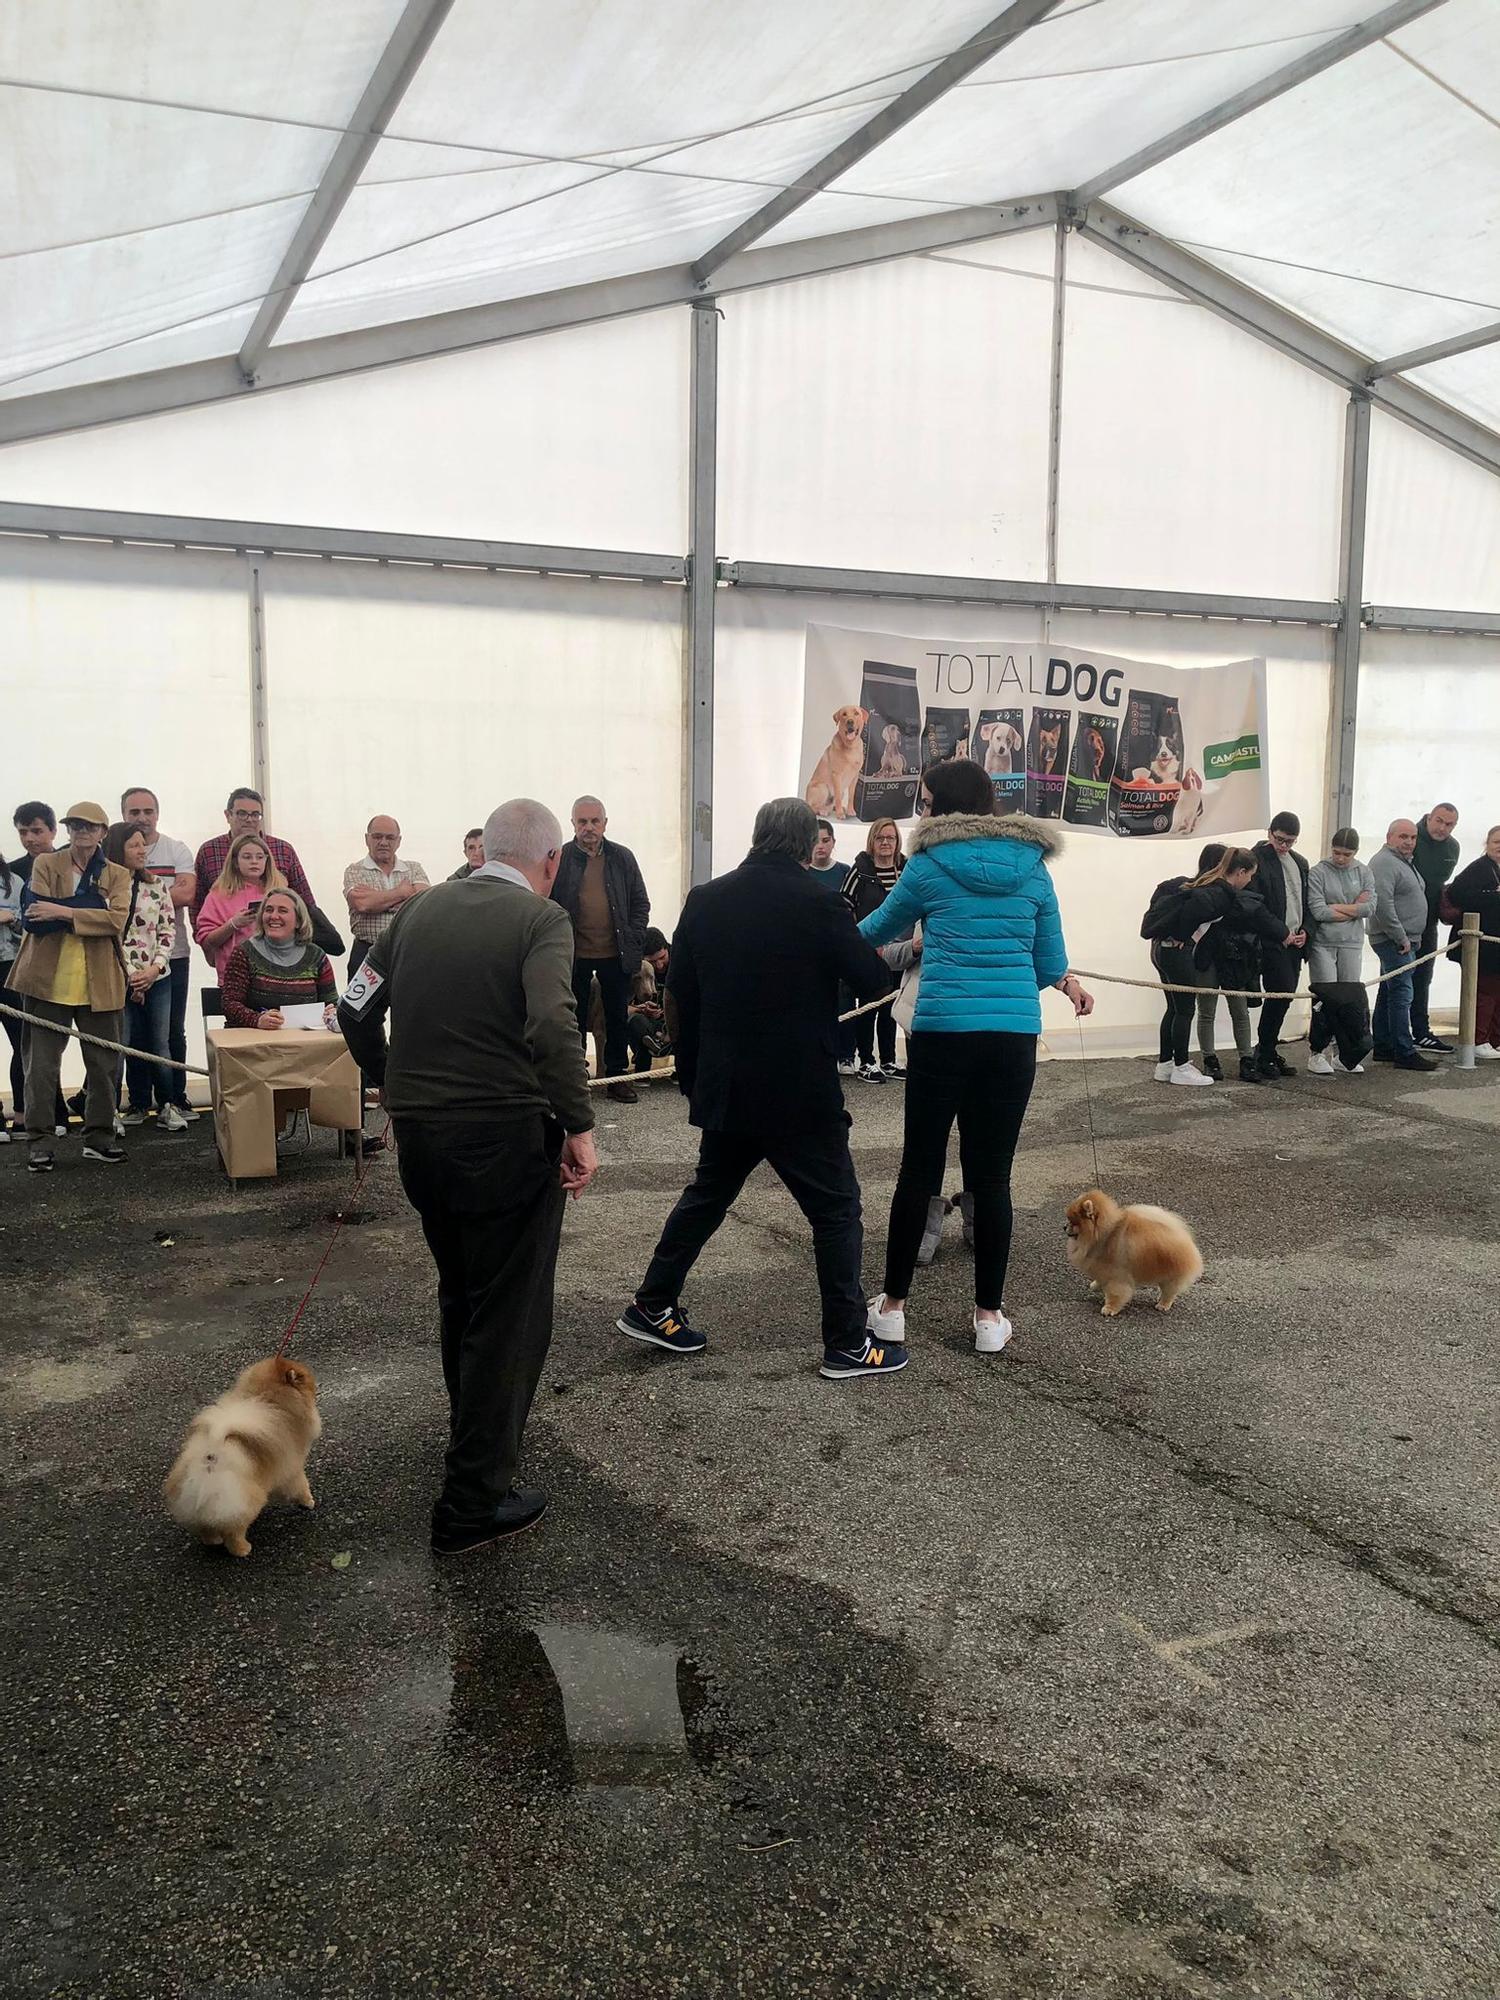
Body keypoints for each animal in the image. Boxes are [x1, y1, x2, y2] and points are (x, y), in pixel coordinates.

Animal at [164, 1352, 324, 1552]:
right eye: (307, 1379)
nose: (315, 1384)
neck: (268, 1399)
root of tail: (210, 1458)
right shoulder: (292, 1467)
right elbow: (301, 1486)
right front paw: (308, 1502)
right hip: (245, 1501)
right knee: (234, 1532)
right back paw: (243, 1549)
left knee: (206, 1529)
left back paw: (213, 1541)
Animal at [1064, 1192, 1208, 1320]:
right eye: (1069, 1220)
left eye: (1073, 1222)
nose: (1064, 1226)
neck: (1105, 1234)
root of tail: (1184, 1238)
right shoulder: (1103, 1269)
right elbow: (1100, 1279)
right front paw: (1095, 1285)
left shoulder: (1116, 1275)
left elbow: (1115, 1293)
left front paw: (1109, 1308)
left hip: (1171, 1274)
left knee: (1170, 1291)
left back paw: (1163, 1304)